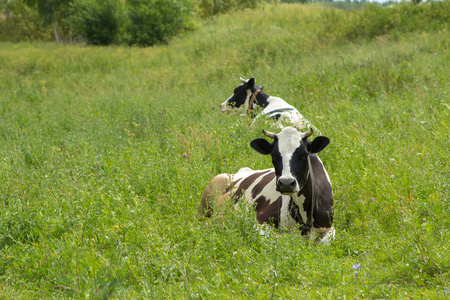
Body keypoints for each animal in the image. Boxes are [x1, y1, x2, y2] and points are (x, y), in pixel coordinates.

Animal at [198, 126, 334, 244]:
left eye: (304, 154)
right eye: (274, 155)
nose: (286, 183)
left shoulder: (329, 229)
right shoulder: (260, 221)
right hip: (204, 205)